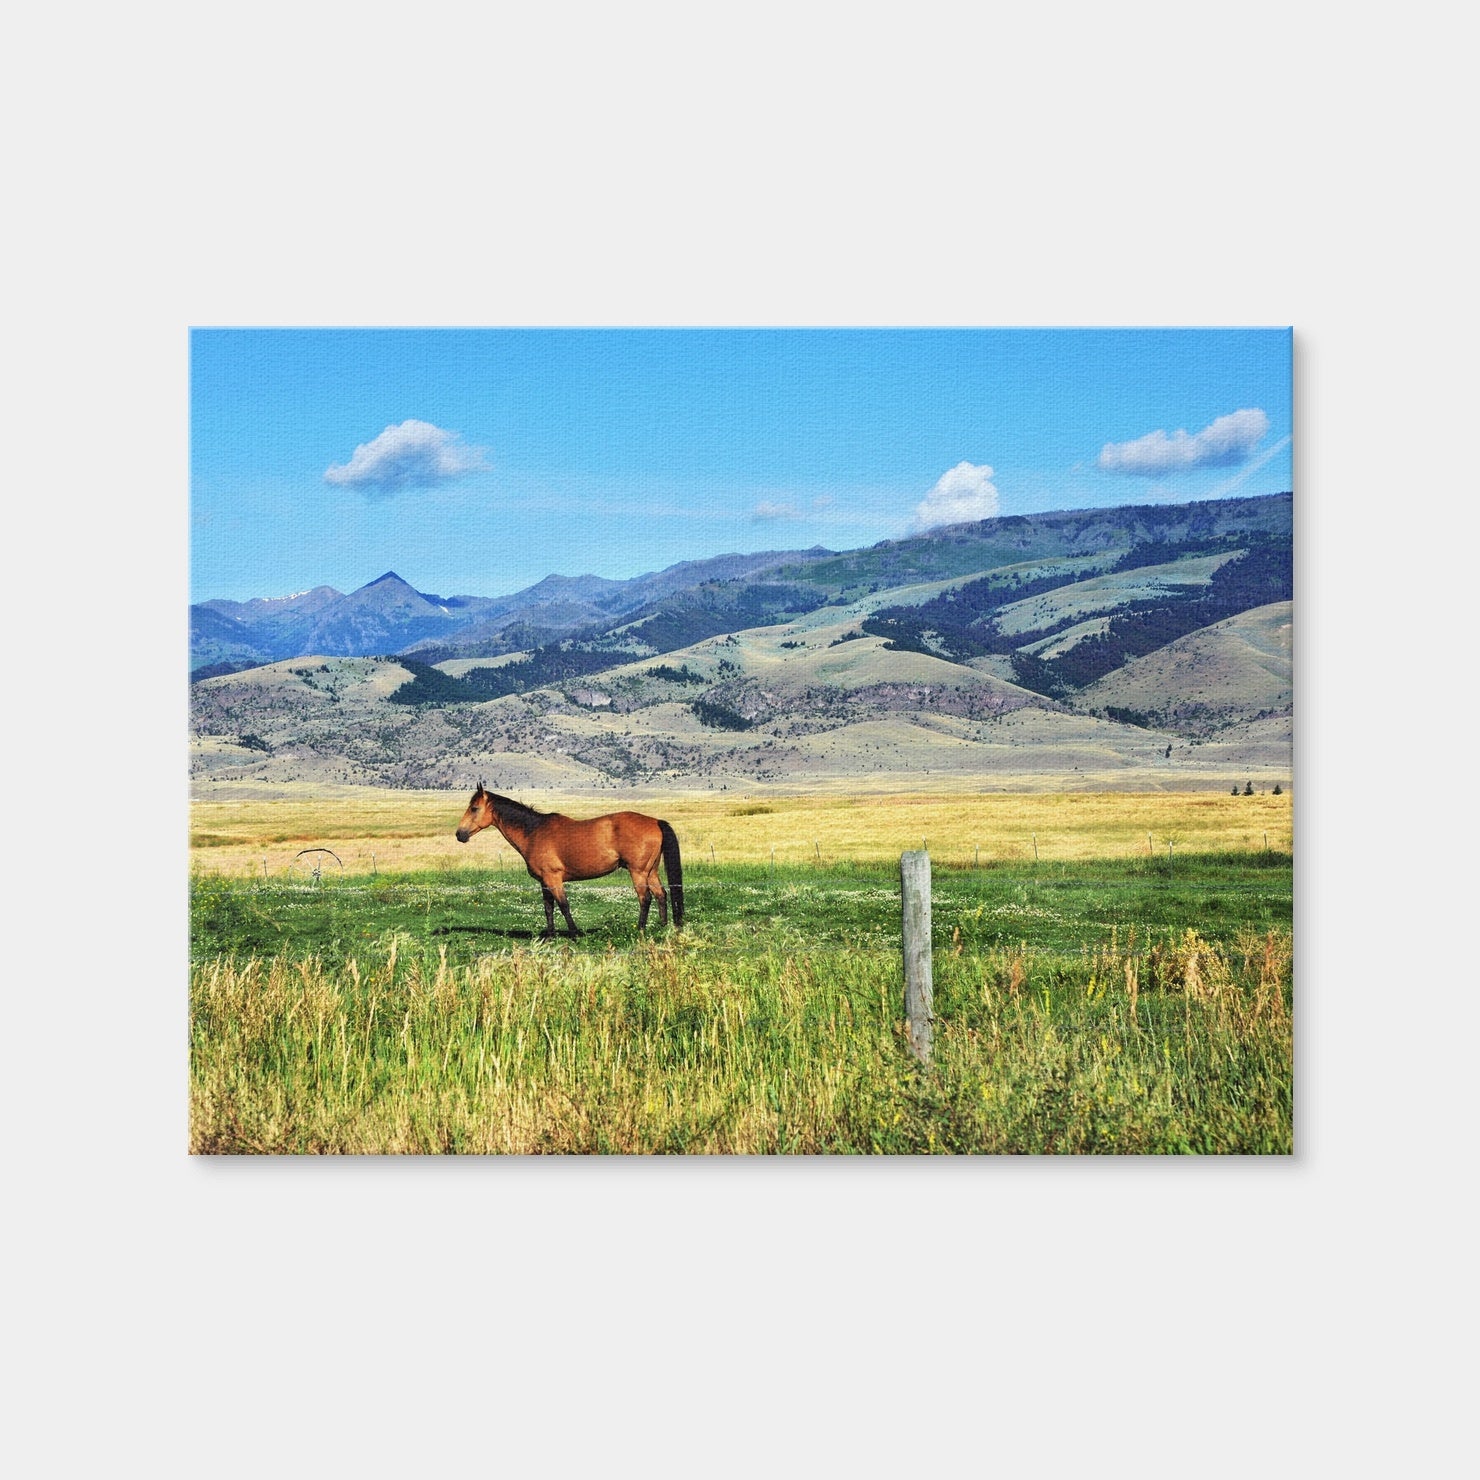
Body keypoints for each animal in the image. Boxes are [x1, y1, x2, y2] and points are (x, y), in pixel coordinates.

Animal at [455, 783, 684, 937]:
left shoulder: (553, 879)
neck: (534, 832)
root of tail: (655, 821)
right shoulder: (544, 882)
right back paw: (662, 927)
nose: (460, 834)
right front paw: (550, 936)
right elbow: (548, 908)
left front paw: (575, 934)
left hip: (638, 872)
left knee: (645, 898)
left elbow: (564, 905)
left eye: (474, 808)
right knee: (661, 895)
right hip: (650, 871)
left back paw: (641, 929)